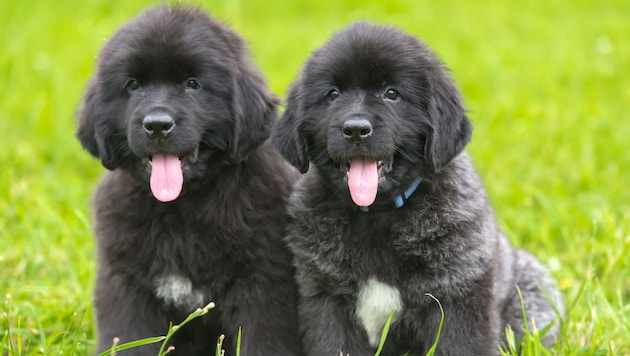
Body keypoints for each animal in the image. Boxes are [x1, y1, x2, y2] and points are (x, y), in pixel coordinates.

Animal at [77, 5, 304, 356]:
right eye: (132, 86)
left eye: (193, 84)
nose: (157, 124)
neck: (180, 208)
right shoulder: (125, 282)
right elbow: (129, 337)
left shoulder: (263, 282)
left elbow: (263, 339)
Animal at [272, 22, 564, 356]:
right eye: (332, 94)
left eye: (392, 94)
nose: (356, 129)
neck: (378, 214)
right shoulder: (326, 298)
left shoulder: (457, 295)